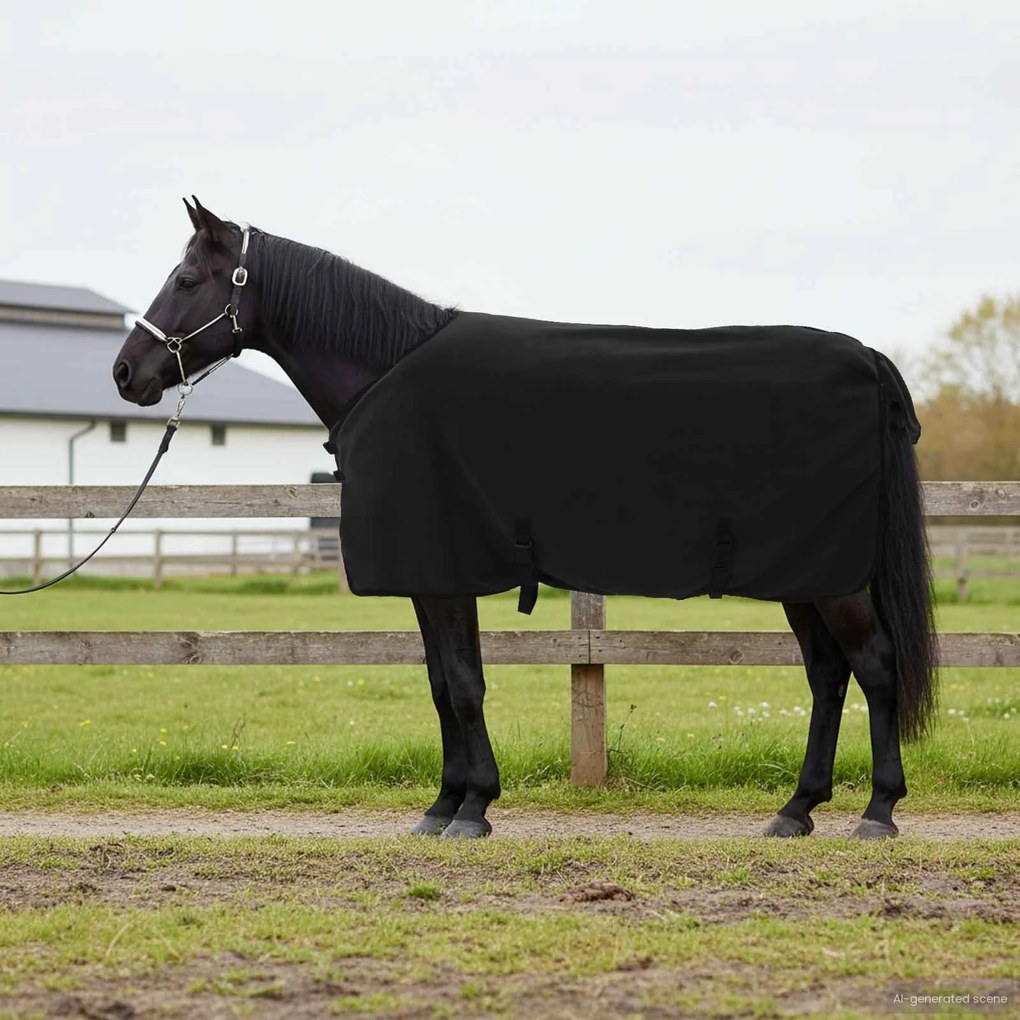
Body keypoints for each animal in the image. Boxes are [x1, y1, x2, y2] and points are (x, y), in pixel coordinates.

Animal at [112, 197, 938, 840]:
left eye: (186, 279)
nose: (126, 373)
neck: (387, 371)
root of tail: (867, 358)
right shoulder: (431, 578)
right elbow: (443, 683)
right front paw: (446, 804)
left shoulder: (444, 574)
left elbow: (463, 685)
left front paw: (472, 807)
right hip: (805, 574)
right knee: (828, 674)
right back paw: (797, 809)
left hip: (834, 580)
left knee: (875, 666)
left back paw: (878, 811)